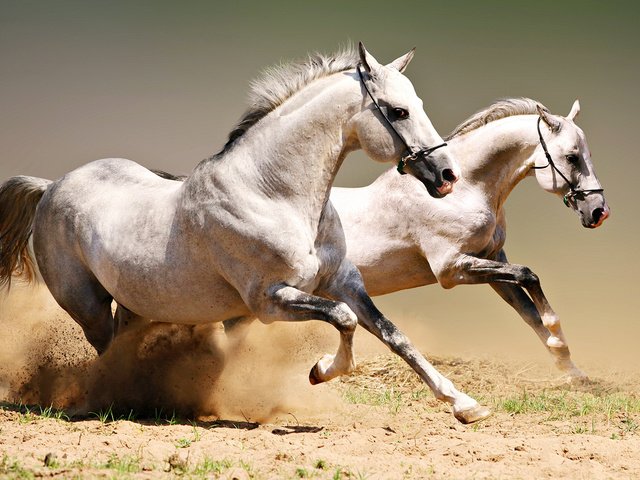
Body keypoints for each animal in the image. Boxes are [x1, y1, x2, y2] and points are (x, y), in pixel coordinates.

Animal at [0, 44, 500, 424]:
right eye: (398, 111)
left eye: (418, 106)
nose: (447, 175)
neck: (272, 194)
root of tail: (51, 187)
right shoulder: (270, 301)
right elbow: (343, 320)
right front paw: (320, 370)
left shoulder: (344, 282)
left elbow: (394, 336)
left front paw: (465, 405)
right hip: (87, 306)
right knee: (105, 351)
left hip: (134, 304)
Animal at [332, 99, 608, 384]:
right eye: (572, 157)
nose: (599, 211)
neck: (463, 192)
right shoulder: (451, 269)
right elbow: (528, 275)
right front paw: (557, 336)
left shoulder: (492, 260)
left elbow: (529, 311)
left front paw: (571, 369)